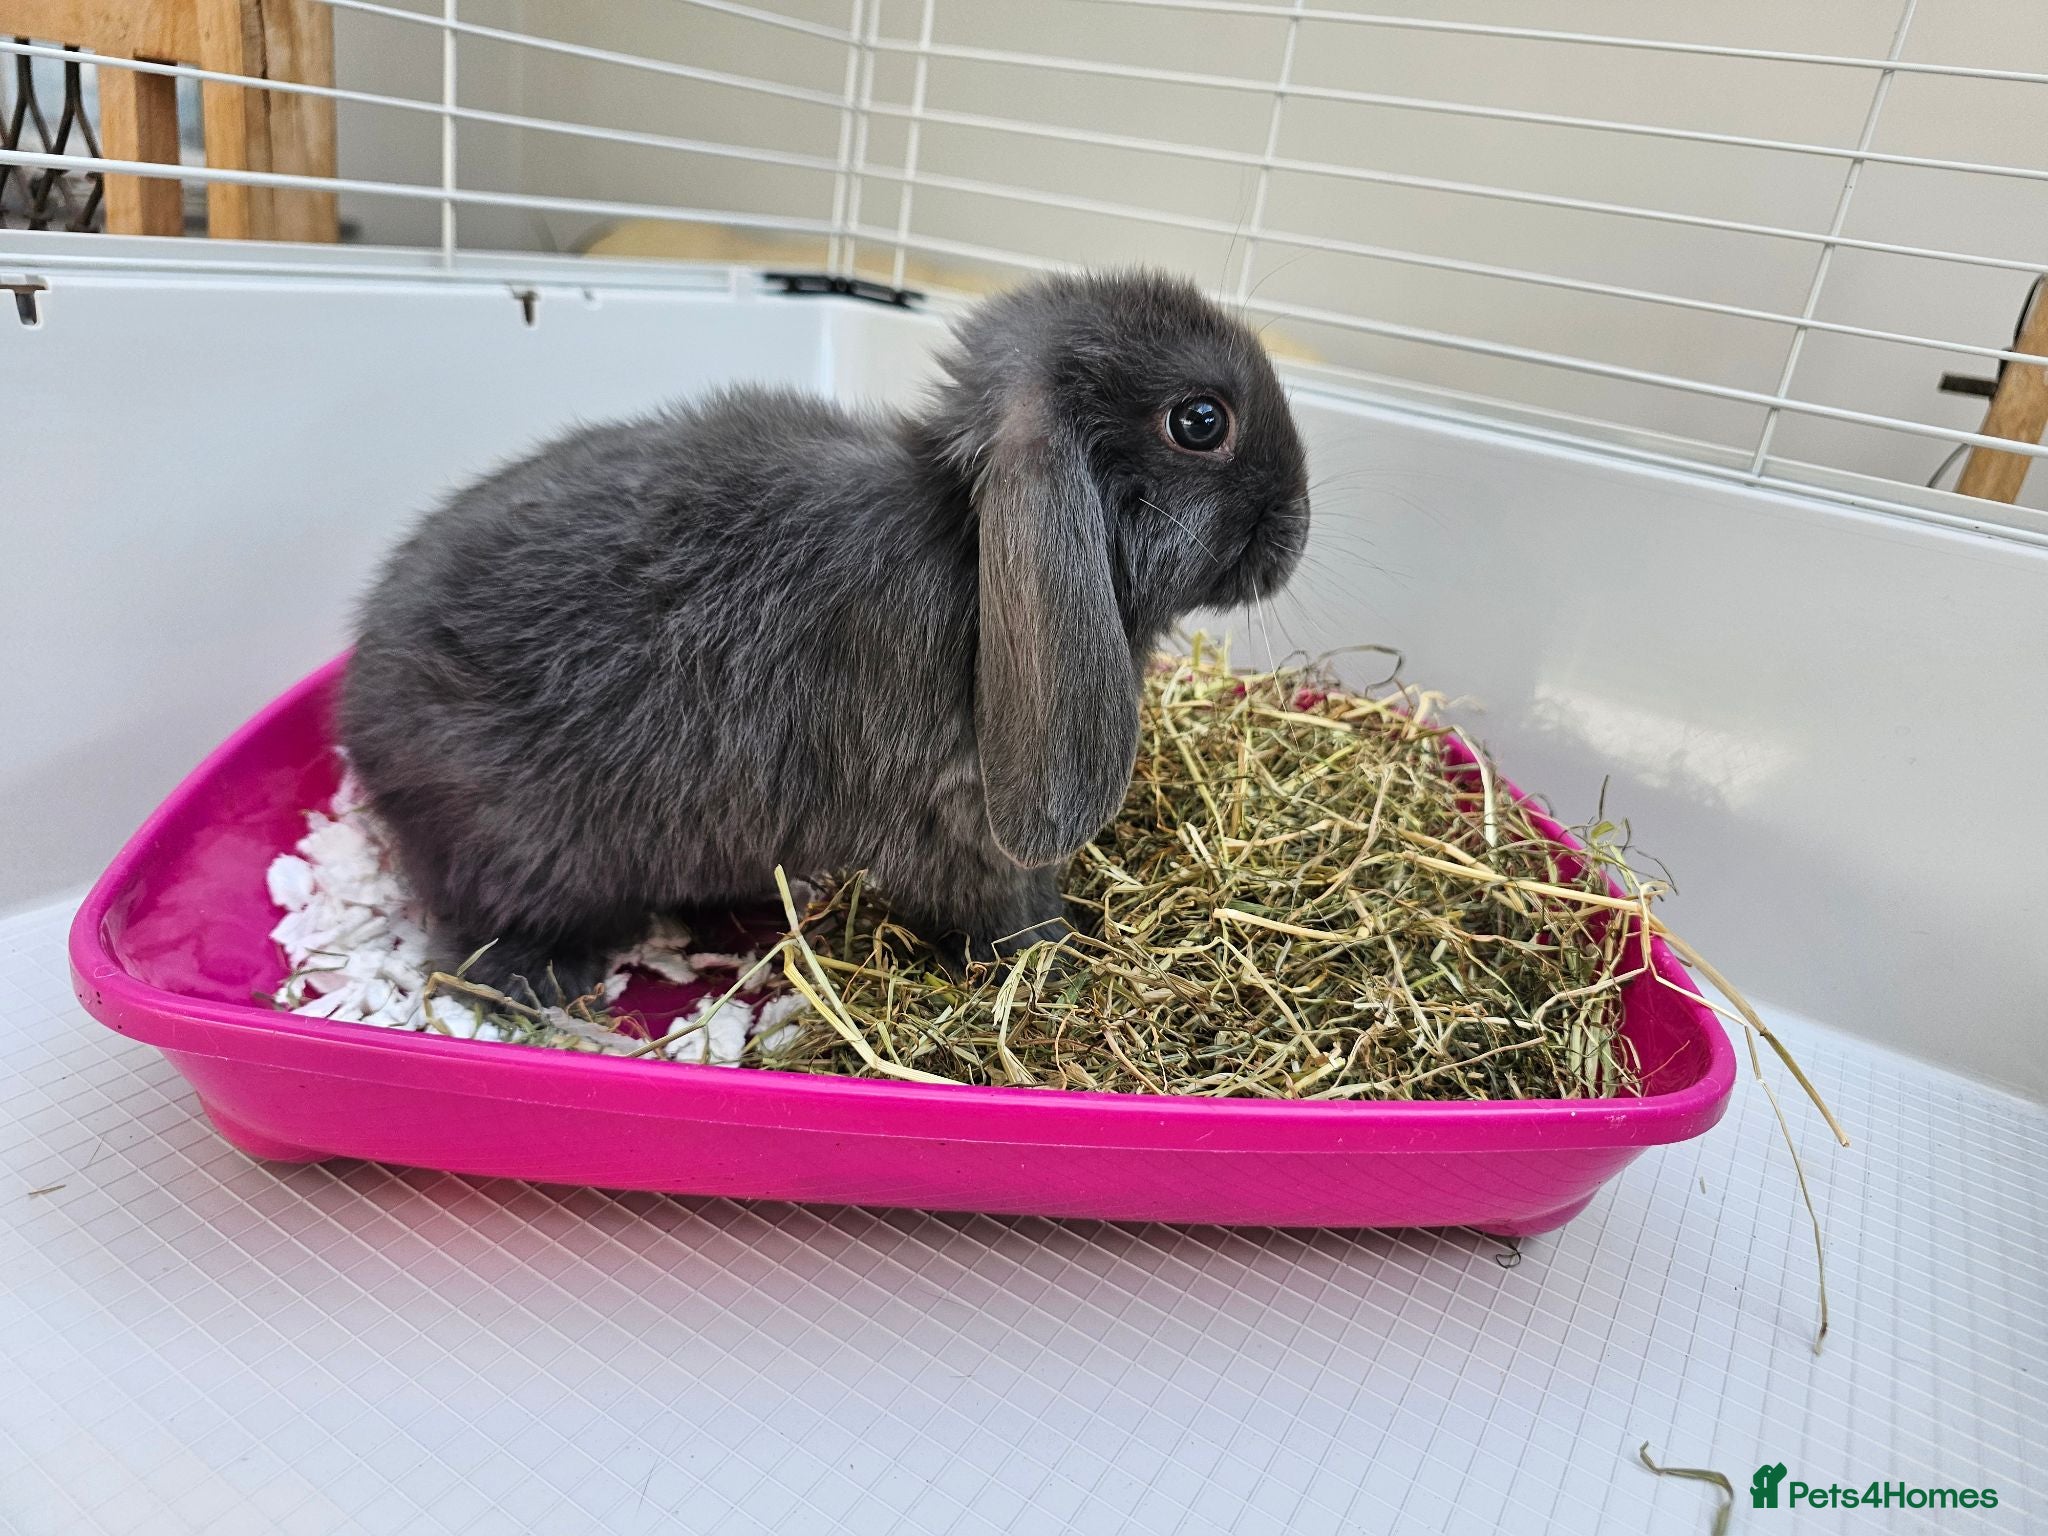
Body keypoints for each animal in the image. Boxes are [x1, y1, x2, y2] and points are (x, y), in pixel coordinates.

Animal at [340, 267, 1311, 999]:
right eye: (1199, 421)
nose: (1298, 526)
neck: (967, 538)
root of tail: (358, 725)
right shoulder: (959, 817)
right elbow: (1001, 905)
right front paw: (1052, 956)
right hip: (521, 848)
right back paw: (542, 980)